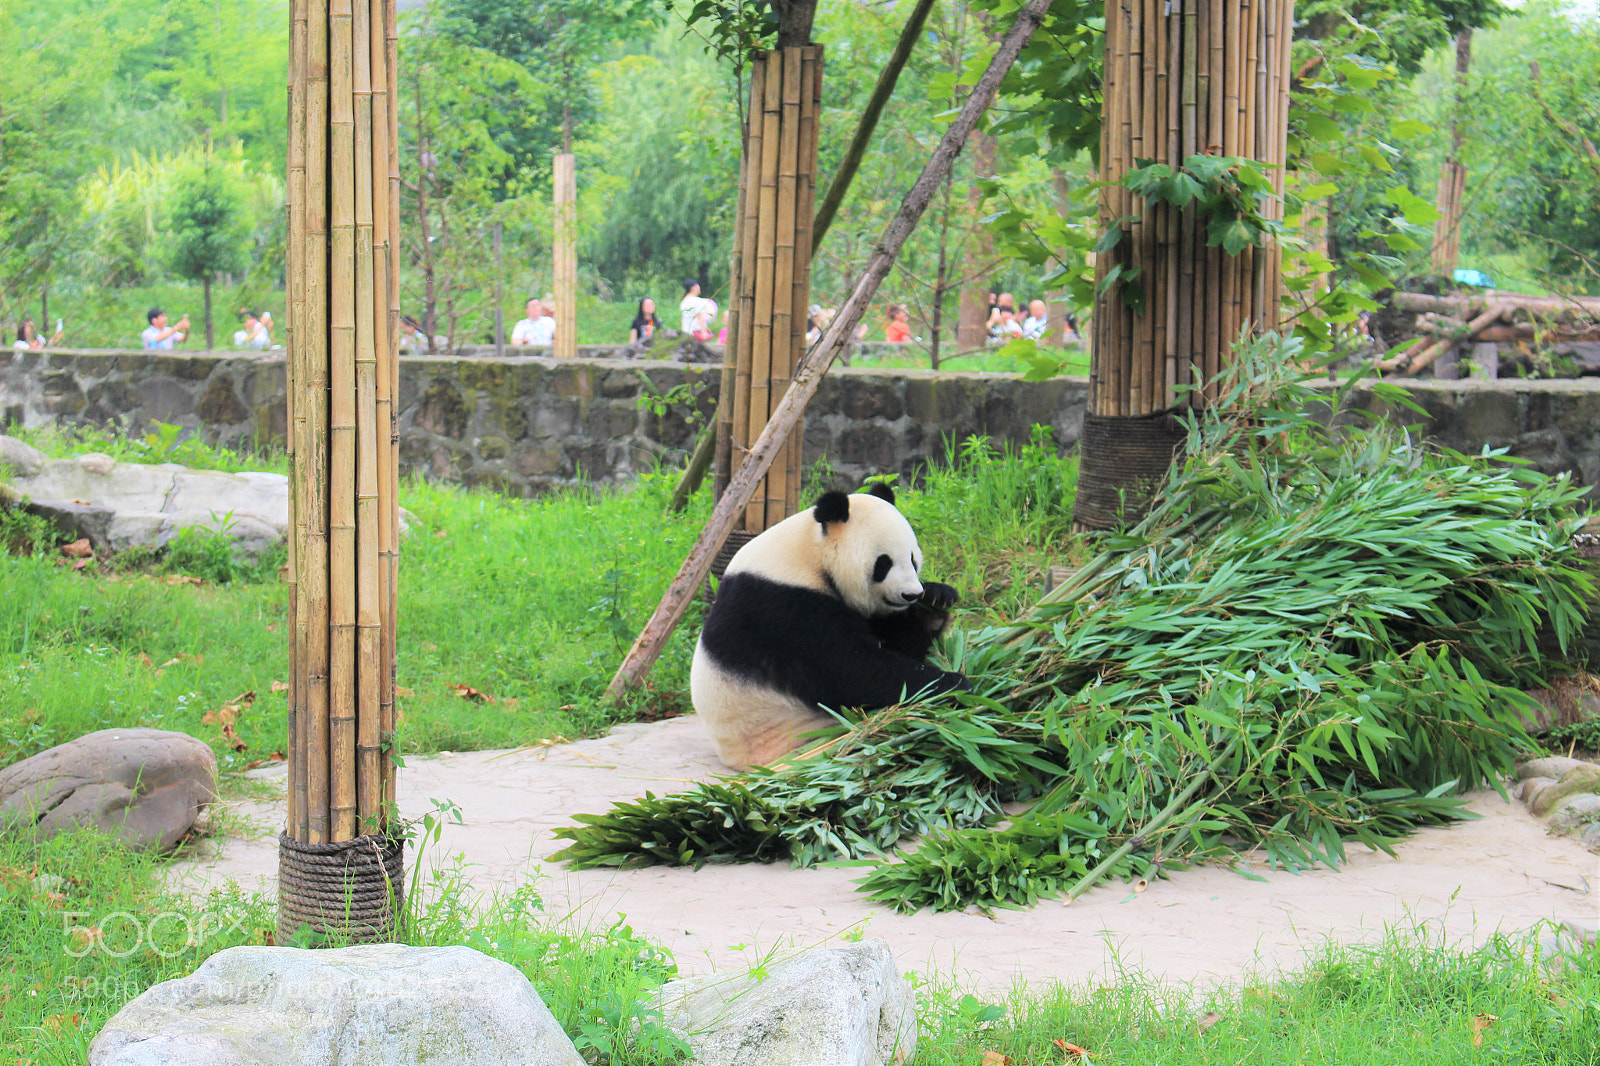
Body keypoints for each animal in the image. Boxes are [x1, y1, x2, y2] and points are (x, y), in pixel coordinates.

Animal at [690, 482, 969, 771]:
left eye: (913, 559)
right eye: (884, 563)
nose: (911, 594)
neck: (809, 553)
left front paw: (935, 601)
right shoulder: (782, 608)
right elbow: (853, 670)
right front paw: (955, 685)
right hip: (800, 736)